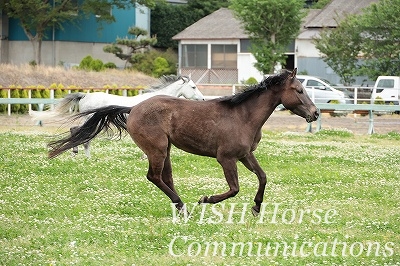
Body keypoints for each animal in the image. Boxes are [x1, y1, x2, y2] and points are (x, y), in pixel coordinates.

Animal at [32, 74, 205, 158]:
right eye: (193, 87)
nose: (203, 99)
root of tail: (85, 95)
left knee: (79, 133)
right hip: (91, 121)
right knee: (79, 133)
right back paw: (82, 155)